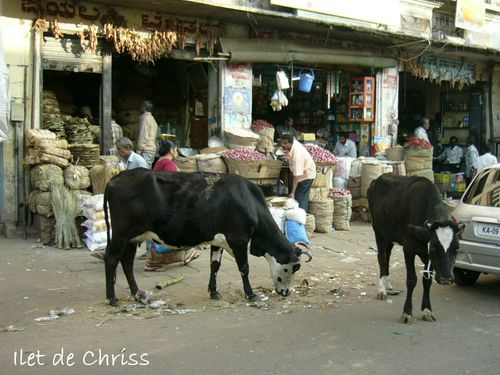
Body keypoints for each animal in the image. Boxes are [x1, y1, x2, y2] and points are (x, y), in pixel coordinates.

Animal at [103, 169, 310, 306]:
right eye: (293, 268)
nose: (286, 293)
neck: (248, 201)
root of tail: (114, 179)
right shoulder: (239, 239)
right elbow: (244, 267)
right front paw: (251, 294)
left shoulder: (218, 240)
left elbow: (215, 265)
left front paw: (214, 291)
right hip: (121, 234)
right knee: (112, 259)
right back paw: (113, 298)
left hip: (133, 238)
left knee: (127, 262)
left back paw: (136, 293)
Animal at [368, 175, 464, 324]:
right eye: (434, 247)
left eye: (456, 248)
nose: (446, 279)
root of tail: (377, 179)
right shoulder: (408, 249)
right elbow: (411, 280)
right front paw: (407, 313)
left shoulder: (428, 257)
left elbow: (427, 281)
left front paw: (427, 310)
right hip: (378, 231)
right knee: (381, 258)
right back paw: (382, 290)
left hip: (390, 236)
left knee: (387, 256)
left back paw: (388, 285)